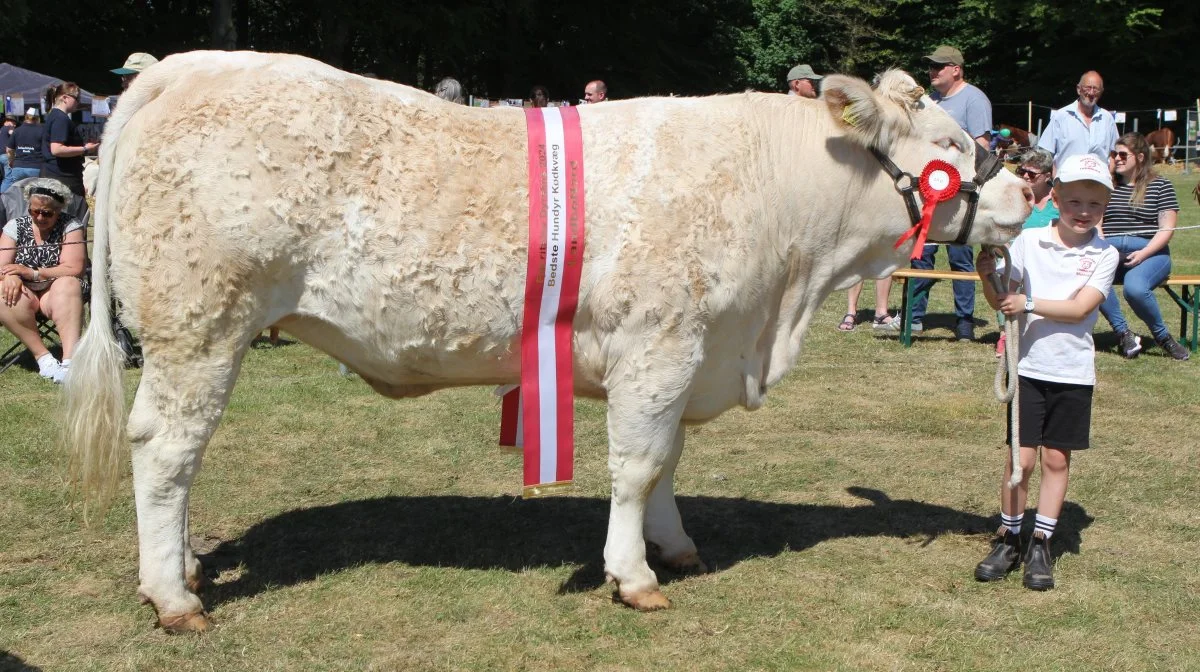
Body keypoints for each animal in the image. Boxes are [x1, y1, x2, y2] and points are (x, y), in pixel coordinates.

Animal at [60, 51, 1027, 628]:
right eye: (950, 142)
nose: (1024, 190)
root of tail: (183, 65)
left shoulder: (687, 354)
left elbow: (668, 463)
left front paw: (673, 546)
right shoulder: (660, 344)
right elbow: (637, 466)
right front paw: (632, 575)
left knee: (176, 454)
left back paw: (184, 563)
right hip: (200, 326)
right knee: (167, 449)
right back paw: (173, 594)